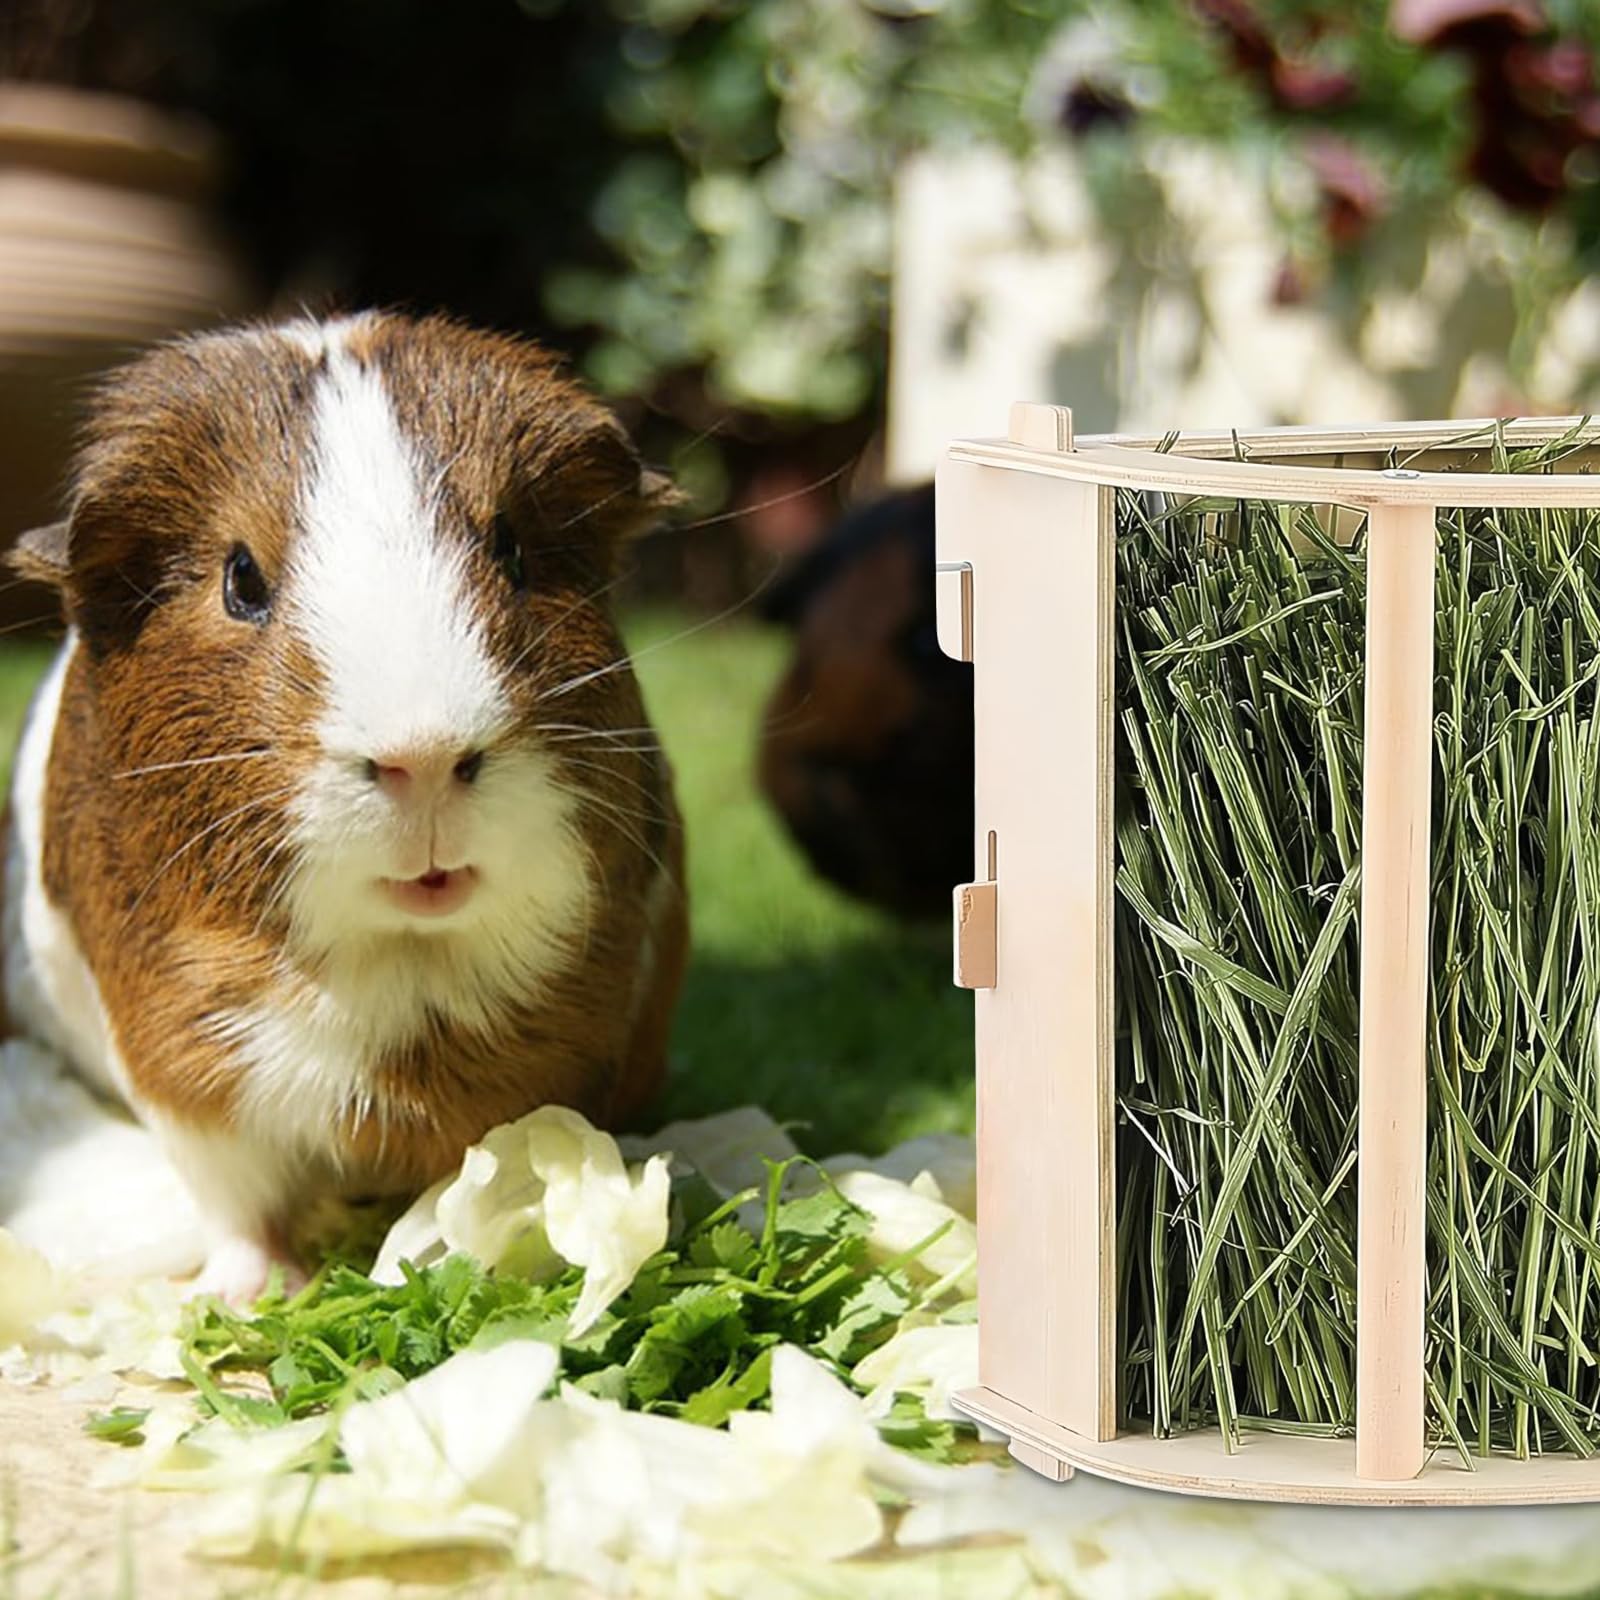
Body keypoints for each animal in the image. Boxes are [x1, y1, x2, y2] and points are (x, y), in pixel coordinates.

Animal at [0, 311, 688, 1300]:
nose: (423, 756)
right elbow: (237, 1202)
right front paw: (253, 1298)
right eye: (241, 579)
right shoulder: (187, 1066)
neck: (404, 978)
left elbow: (476, 1169)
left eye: (513, 552)